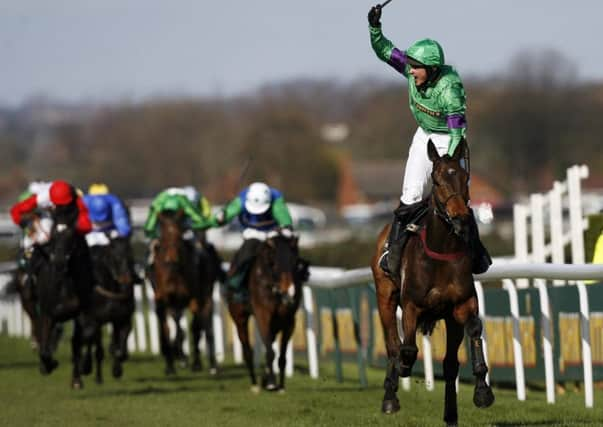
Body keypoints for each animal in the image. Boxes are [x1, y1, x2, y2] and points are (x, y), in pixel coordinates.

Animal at [81, 234, 134, 384]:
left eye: (131, 254)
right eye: (113, 255)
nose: (126, 280)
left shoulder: (122, 319)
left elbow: (120, 347)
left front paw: (117, 369)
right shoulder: (93, 319)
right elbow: (90, 337)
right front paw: (86, 366)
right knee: (92, 341)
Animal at [151, 210, 219, 374]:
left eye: (178, 235)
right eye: (164, 237)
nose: (171, 260)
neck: (174, 272)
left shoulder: (193, 298)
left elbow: (194, 327)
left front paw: (194, 362)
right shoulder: (165, 300)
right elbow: (169, 328)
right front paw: (171, 364)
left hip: (205, 295)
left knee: (204, 325)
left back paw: (211, 364)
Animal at [229, 232, 310, 392]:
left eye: (295, 262)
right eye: (274, 263)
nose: (290, 292)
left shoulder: (289, 320)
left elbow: (282, 355)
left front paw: (281, 386)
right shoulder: (263, 315)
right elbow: (270, 351)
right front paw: (272, 382)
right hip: (239, 318)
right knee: (247, 350)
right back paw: (255, 383)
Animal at [372, 140, 496, 424]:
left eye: (465, 177)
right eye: (437, 181)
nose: (460, 217)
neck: (441, 249)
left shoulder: (462, 304)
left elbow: (474, 329)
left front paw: (483, 392)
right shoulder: (411, 306)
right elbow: (406, 348)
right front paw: (404, 368)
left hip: (450, 319)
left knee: (450, 365)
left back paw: (451, 414)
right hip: (385, 297)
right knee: (392, 345)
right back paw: (390, 397)